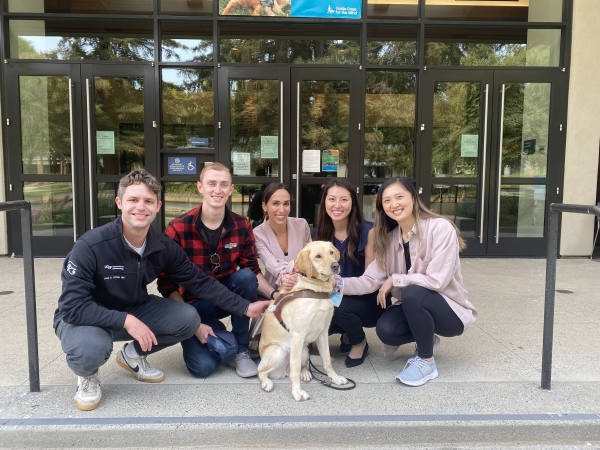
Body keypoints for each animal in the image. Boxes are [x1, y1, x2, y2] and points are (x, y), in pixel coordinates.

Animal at [256, 241, 346, 402]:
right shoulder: (297, 334)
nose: (336, 265)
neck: (316, 288)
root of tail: (284, 371)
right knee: (261, 371)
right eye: (318, 256)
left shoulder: (323, 332)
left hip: (304, 350)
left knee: (304, 365)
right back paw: (267, 382)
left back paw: (306, 373)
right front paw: (297, 392)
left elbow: (327, 361)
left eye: (331, 253)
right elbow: (295, 370)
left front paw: (335, 379)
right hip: (279, 351)